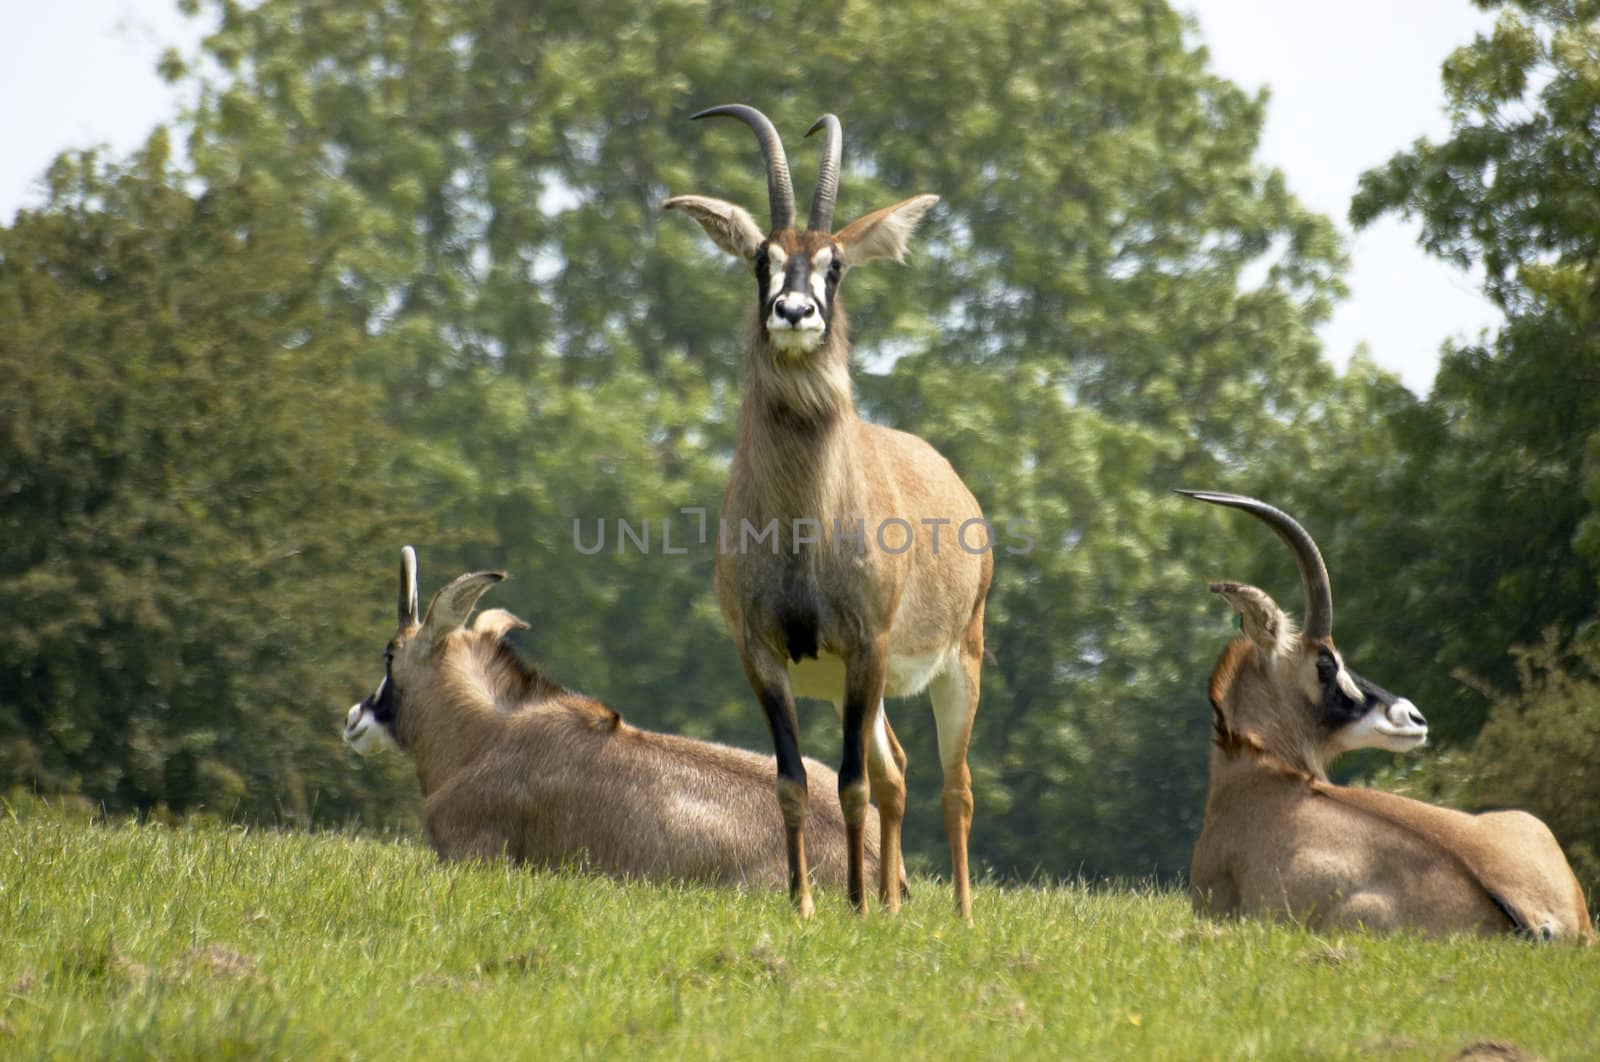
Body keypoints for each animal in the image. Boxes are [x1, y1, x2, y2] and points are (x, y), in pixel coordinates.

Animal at [662, 109, 985, 921]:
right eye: (763, 260)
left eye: (834, 264)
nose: (794, 312)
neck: (801, 525)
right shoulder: (764, 653)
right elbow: (793, 780)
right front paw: (807, 904)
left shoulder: (866, 646)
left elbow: (851, 785)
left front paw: (855, 907)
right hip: (862, 687)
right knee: (899, 771)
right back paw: (897, 904)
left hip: (957, 662)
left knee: (953, 786)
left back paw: (959, 914)